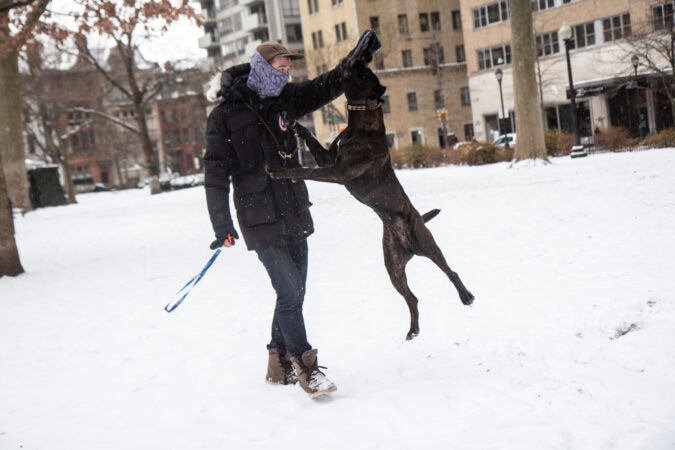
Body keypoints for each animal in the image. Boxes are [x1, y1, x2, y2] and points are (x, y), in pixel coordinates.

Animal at [266, 34, 472, 338]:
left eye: (362, 71)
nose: (365, 52)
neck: (362, 117)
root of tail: (410, 243)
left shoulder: (336, 171)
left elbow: (304, 171)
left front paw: (278, 170)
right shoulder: (328, 158)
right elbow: (312, 141)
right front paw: (295, 125)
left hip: (429, 246)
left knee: (451, 272)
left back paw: (466, 295)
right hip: (393, 267)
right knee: (412, 297)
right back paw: (413, 330)